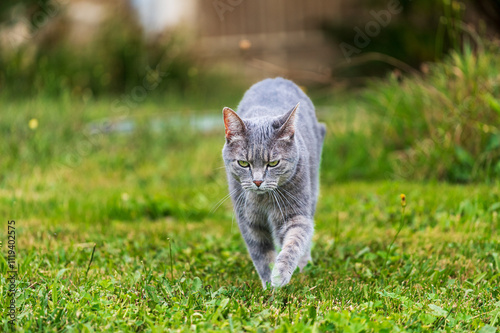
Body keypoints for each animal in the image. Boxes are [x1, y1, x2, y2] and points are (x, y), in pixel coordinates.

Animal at [222, 76, 324, 286]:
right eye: (243, 163)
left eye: (274, 163)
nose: (258, 181)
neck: (264, 200)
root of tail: (276, 78)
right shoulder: (249, 221)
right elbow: (261, 254)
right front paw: (268, 283)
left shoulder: (294, 213)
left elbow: (294, 241)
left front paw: (280, 274)